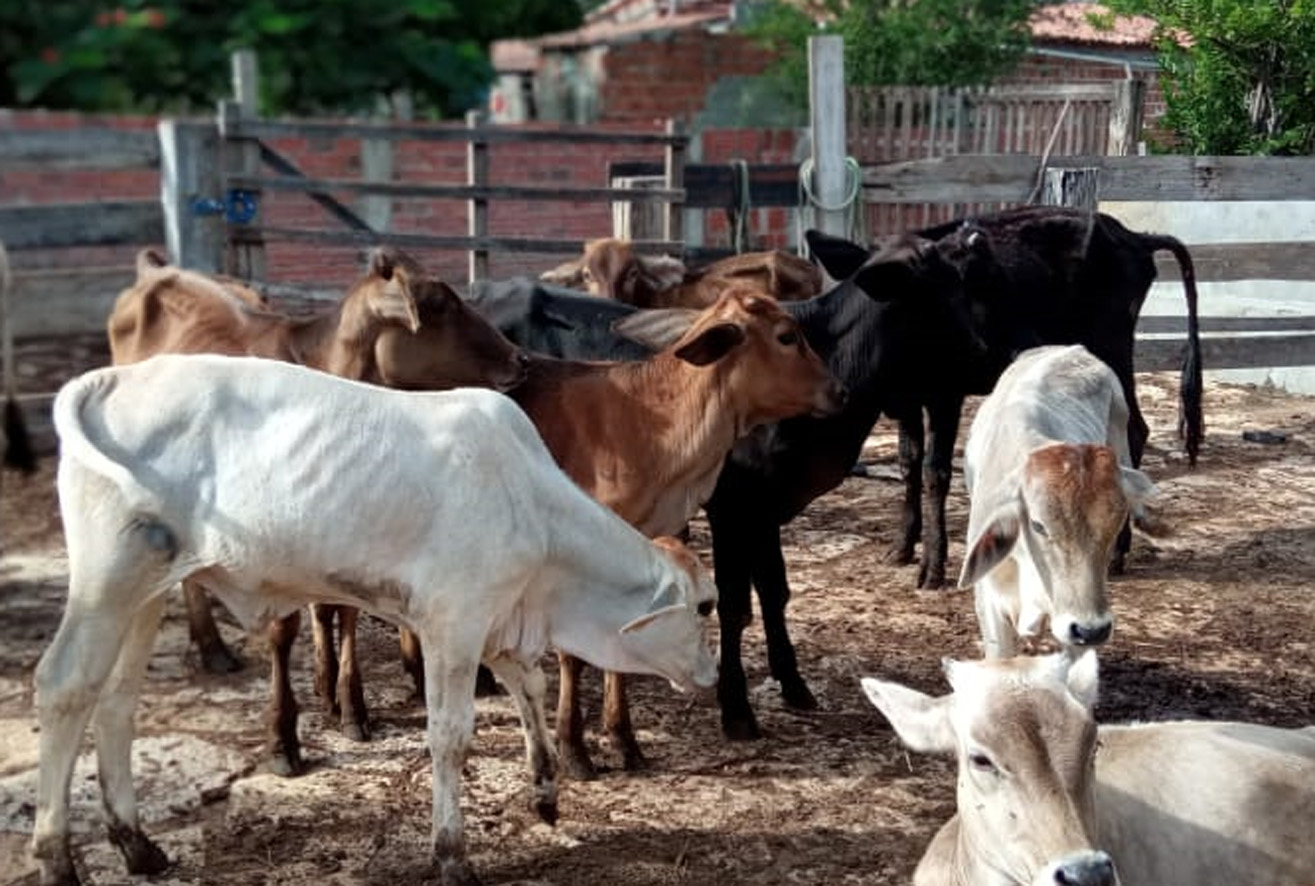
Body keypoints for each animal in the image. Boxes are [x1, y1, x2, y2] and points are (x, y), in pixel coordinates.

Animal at [35, 352, 720, 883]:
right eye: (706, 604)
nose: (713, 675)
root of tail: (113, 378)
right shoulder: (454, 625)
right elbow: (451, 737)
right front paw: (452, 856)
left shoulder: (497, 626)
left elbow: (532, 687)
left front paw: (546, 793)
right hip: (107, 578)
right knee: (65, 687)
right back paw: (58, 860)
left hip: (146, 591)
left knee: (117, 701)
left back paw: (137, 844)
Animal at [107, 244, 528, 767]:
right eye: (439, 303)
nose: (519, 357)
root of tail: (156, 270)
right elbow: (284, 629)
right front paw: (282, 737)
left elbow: (342, 611)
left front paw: (348, 705)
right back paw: (211, 646)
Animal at [799, 205, 1204, 588]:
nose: (1008, 343)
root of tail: (1133, 235)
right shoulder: (908, 398)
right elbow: (908, 464)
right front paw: (902, 547)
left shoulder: (946, 393)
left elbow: (934, 471)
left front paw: (933, 565)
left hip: (1113, 347)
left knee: (1133, 431)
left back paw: (1118, 551)